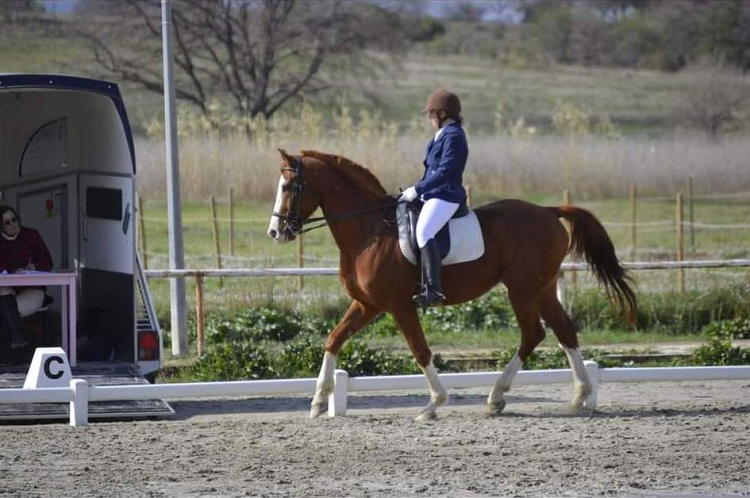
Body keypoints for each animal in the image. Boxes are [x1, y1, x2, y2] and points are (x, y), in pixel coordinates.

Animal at [268, 149, 636, 420]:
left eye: (288, 187)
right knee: (564, 332)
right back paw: (580, 397)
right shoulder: (367, 304)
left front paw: (434, 404)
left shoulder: (398, 305)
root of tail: (548, 211)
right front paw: (318, 402)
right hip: (542, 289)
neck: (368, 230)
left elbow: (420, 350)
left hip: (522, 289)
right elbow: (333, 339)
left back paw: (497, 397)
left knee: (533, 334)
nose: (275, 232)